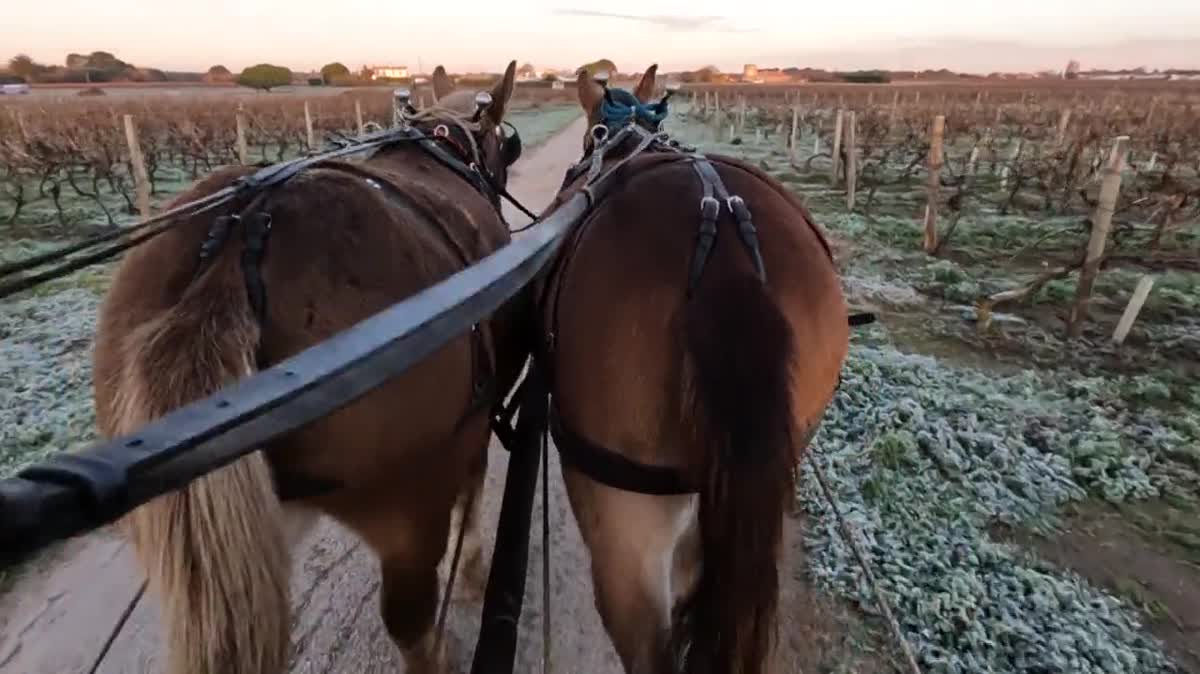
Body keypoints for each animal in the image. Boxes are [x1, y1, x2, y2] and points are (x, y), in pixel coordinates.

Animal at [93, 59, 535, 671]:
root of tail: (239, 246)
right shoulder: (472, 428)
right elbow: (471, 497)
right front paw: (472, 572)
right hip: (406, 510)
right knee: (411, 620)